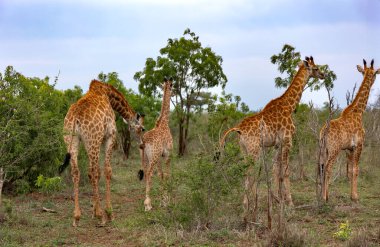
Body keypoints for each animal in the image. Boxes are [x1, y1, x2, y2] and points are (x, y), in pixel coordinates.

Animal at [59, 80, 144, 227]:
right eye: (141, 129)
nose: (142, 144)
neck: (108, 94)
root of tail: (75, 117)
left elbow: (94, 173)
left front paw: (94, 210)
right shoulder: (110, 136)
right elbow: (106, 171)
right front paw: (108, 213)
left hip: (72, 140)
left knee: (76, 172)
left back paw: (76, 217)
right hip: (93, 139)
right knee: (93, 171)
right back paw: (101, 216)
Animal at [139, 78, 173, 211]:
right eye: (172, 86)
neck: (164, 123)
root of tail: (144, 140)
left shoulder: (159, 156)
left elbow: (161, 175)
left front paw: (163, 200)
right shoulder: (168, 154)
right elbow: (167, 175)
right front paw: (167, 201)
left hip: (145, 157)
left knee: (146, 173)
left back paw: (147, 202)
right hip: (152, 157)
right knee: (149, 174)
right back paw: (147, 205)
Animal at [221, 56, 326, 220]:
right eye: (315, 68)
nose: (323, 75)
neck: (289, 106)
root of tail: (239, 129)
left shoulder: (277, 144)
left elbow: (276, 170)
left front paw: (277, 201)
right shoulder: (288, 141)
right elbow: (286, 171)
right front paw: (290, 204)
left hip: (244, 149)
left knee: (246, 172)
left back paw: (246, 207)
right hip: (254, 150)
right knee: (250, 172)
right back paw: (251, 207)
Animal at [320, 60, 380, 203]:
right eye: (375, 73)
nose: (374, 79)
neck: (358, 112)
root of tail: (323, 133)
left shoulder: (349, 148)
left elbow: (350, 170)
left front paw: (352, 195)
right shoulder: (359, 145)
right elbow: (356, 169)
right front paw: (355, 196)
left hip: (323, 150)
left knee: (322, 168)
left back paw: (323, 195)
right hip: (334, 150)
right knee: (328, 169)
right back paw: (324, 198)